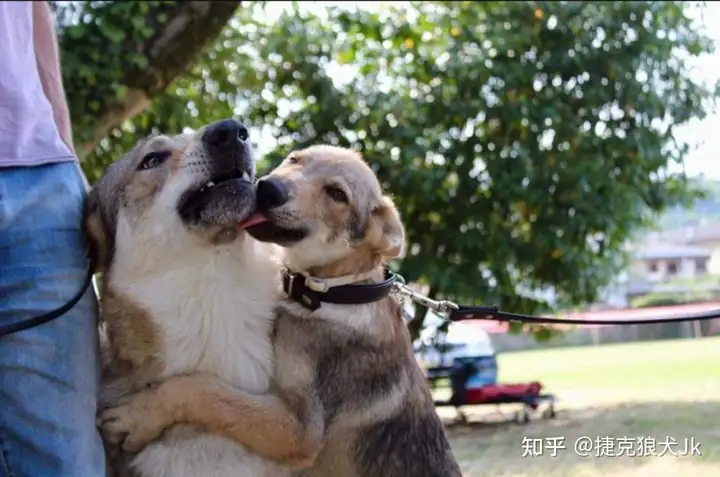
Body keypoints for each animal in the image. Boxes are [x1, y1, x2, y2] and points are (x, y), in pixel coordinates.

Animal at [98, 145, 464, 476]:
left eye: (337, 194)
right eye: (294, 159)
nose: (269, 188)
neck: (334, 293)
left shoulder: (300, 430)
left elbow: (203, 390)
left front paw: (140, 415)